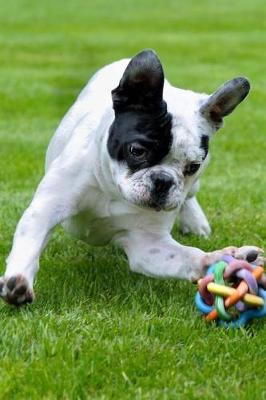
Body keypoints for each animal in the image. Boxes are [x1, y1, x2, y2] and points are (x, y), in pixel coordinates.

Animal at [0, 50, 262, 306]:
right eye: (137, 151)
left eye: (193, 166)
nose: (163, 180)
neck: (113, 191)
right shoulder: (47, 208)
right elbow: (30, 242)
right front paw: (18, 280)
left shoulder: (147, 243)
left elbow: (190, 256)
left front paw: (224, 258)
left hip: (192, 188)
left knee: (188, 197)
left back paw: (196, 222)